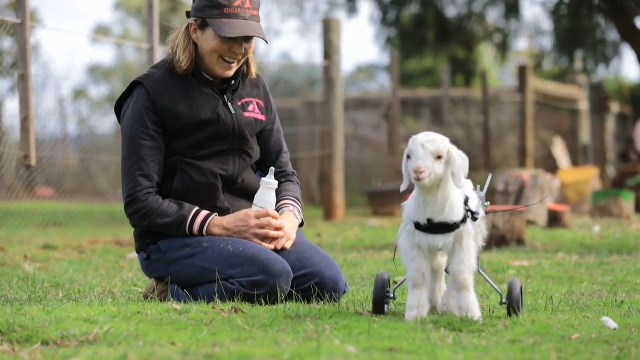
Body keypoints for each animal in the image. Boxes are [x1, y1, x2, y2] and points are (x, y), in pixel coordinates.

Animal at [398, 131, 488, 322]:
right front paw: (415, 313)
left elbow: (461, 274)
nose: (418, 171)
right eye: (409, 156)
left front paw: (471, 313)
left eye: (439, 156)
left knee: (451, 269)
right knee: (437, 267)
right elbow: (418, 275)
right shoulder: (412, 241)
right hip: (433, 246)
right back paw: (436, 300)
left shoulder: (463, 241)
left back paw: (448, 303)